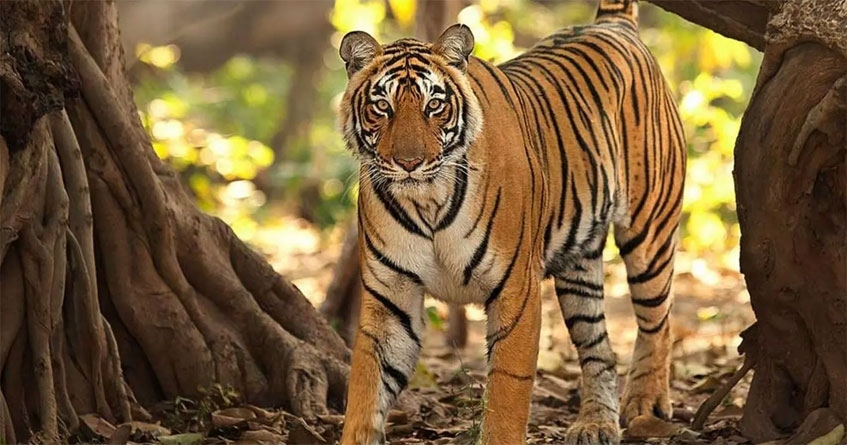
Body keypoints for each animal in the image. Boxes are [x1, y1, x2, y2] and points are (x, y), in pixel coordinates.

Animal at [337, 0, 685, 443]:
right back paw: (596, 423)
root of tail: (613, 24)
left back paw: (645, 405)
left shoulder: (517, 291)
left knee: (659, 321)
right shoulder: (390, 299)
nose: (409, 163)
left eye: (435, 105)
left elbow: (507, 390)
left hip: (649, 234)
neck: (426, 201)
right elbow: (366, 391)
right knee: (599, 349)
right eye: (382, 106)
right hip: (579, 264)